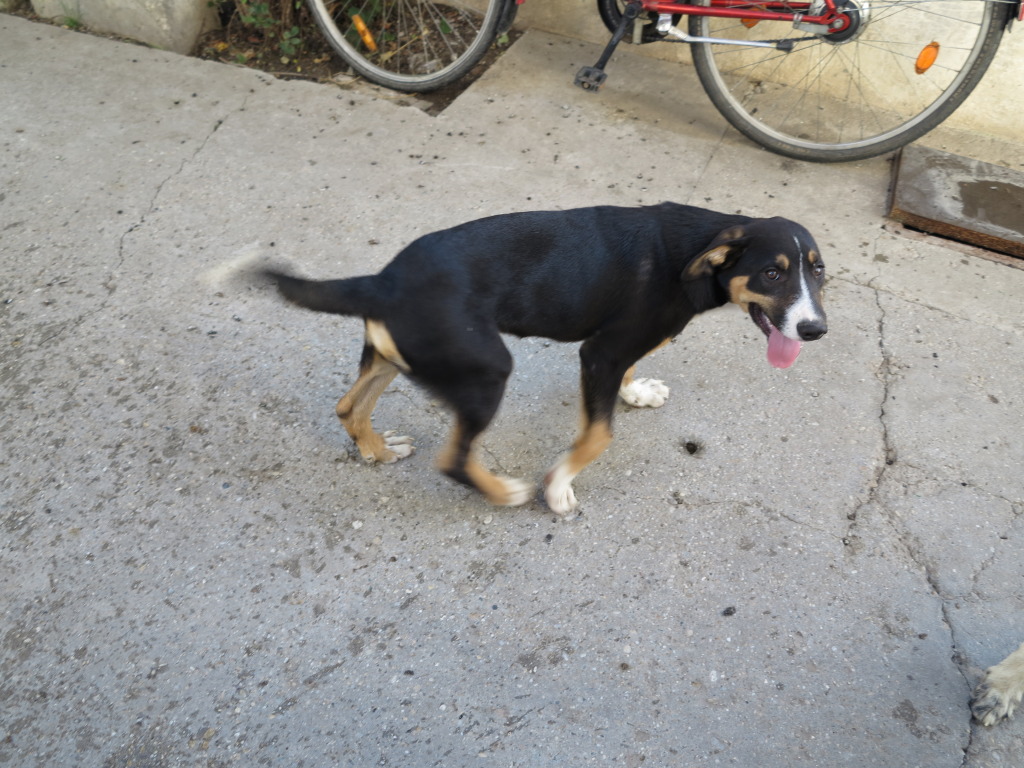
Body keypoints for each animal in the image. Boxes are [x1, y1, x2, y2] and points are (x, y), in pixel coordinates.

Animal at [251, 204, 827, 518]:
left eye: (819, 272)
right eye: (772, 273)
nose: (815, 330)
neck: (693, 253)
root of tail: (382, 280)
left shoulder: (619, 347)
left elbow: (629, 375)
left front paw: (636, 392)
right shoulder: (600, 353)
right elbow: (598, 435)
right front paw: (557, 488)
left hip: (397, 355)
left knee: (349, 406)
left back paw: (376, 449)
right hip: (486, 369)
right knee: (452, 458)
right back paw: (504, 493)